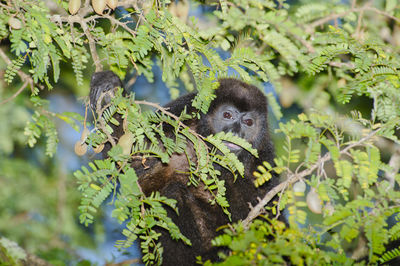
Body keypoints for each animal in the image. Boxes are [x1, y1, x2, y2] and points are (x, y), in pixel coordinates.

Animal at [89, 71, 280, 266]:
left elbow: (267, 212)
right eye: (227, 115)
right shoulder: (179, 113)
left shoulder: (264, 156)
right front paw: (110, 86)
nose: (235, 132)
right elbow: (133, 164)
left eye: (248, 122)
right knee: (171, 195)